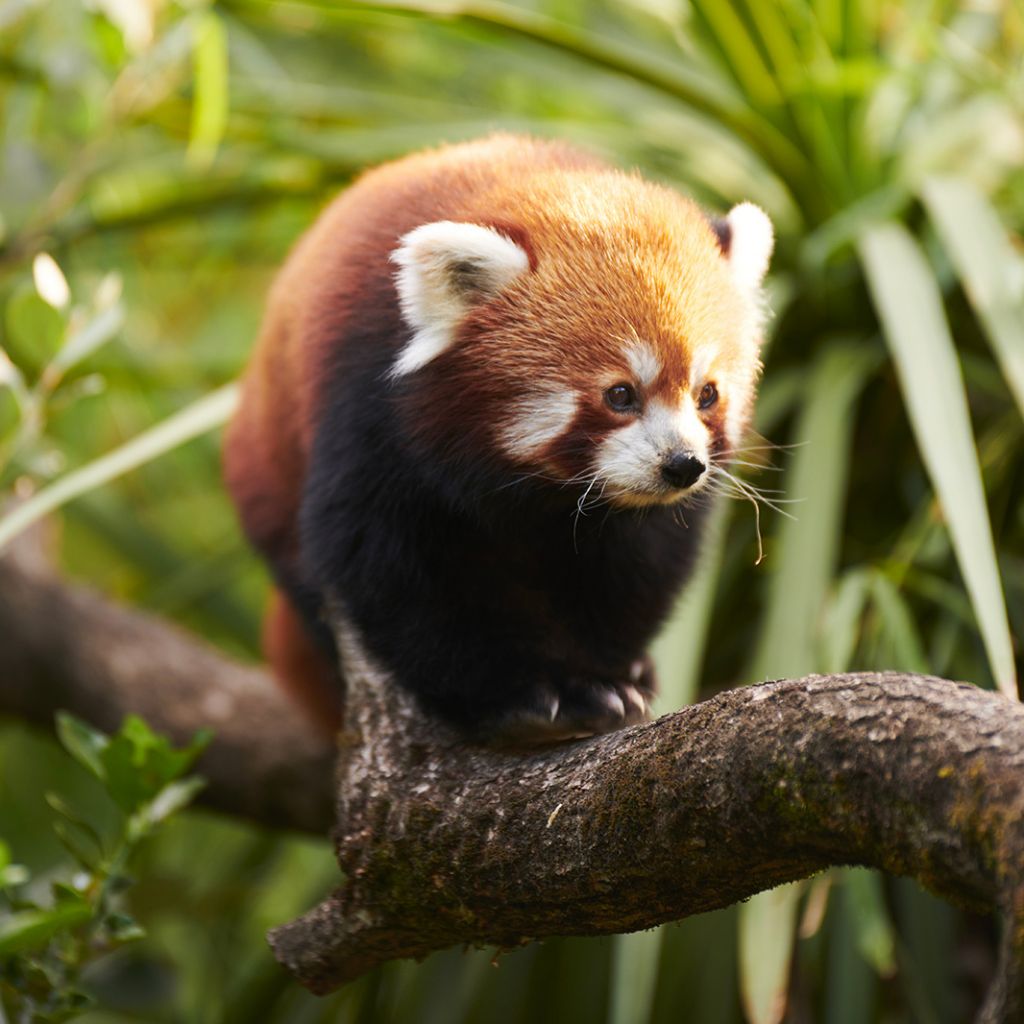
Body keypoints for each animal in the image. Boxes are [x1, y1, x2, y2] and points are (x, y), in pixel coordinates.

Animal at [222, 136, 770, 745]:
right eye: (621, 394)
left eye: (706, 394)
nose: (682, 465)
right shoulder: (367, 407)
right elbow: (400, 571)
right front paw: (533, 691)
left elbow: (633, 569)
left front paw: (609, 673)